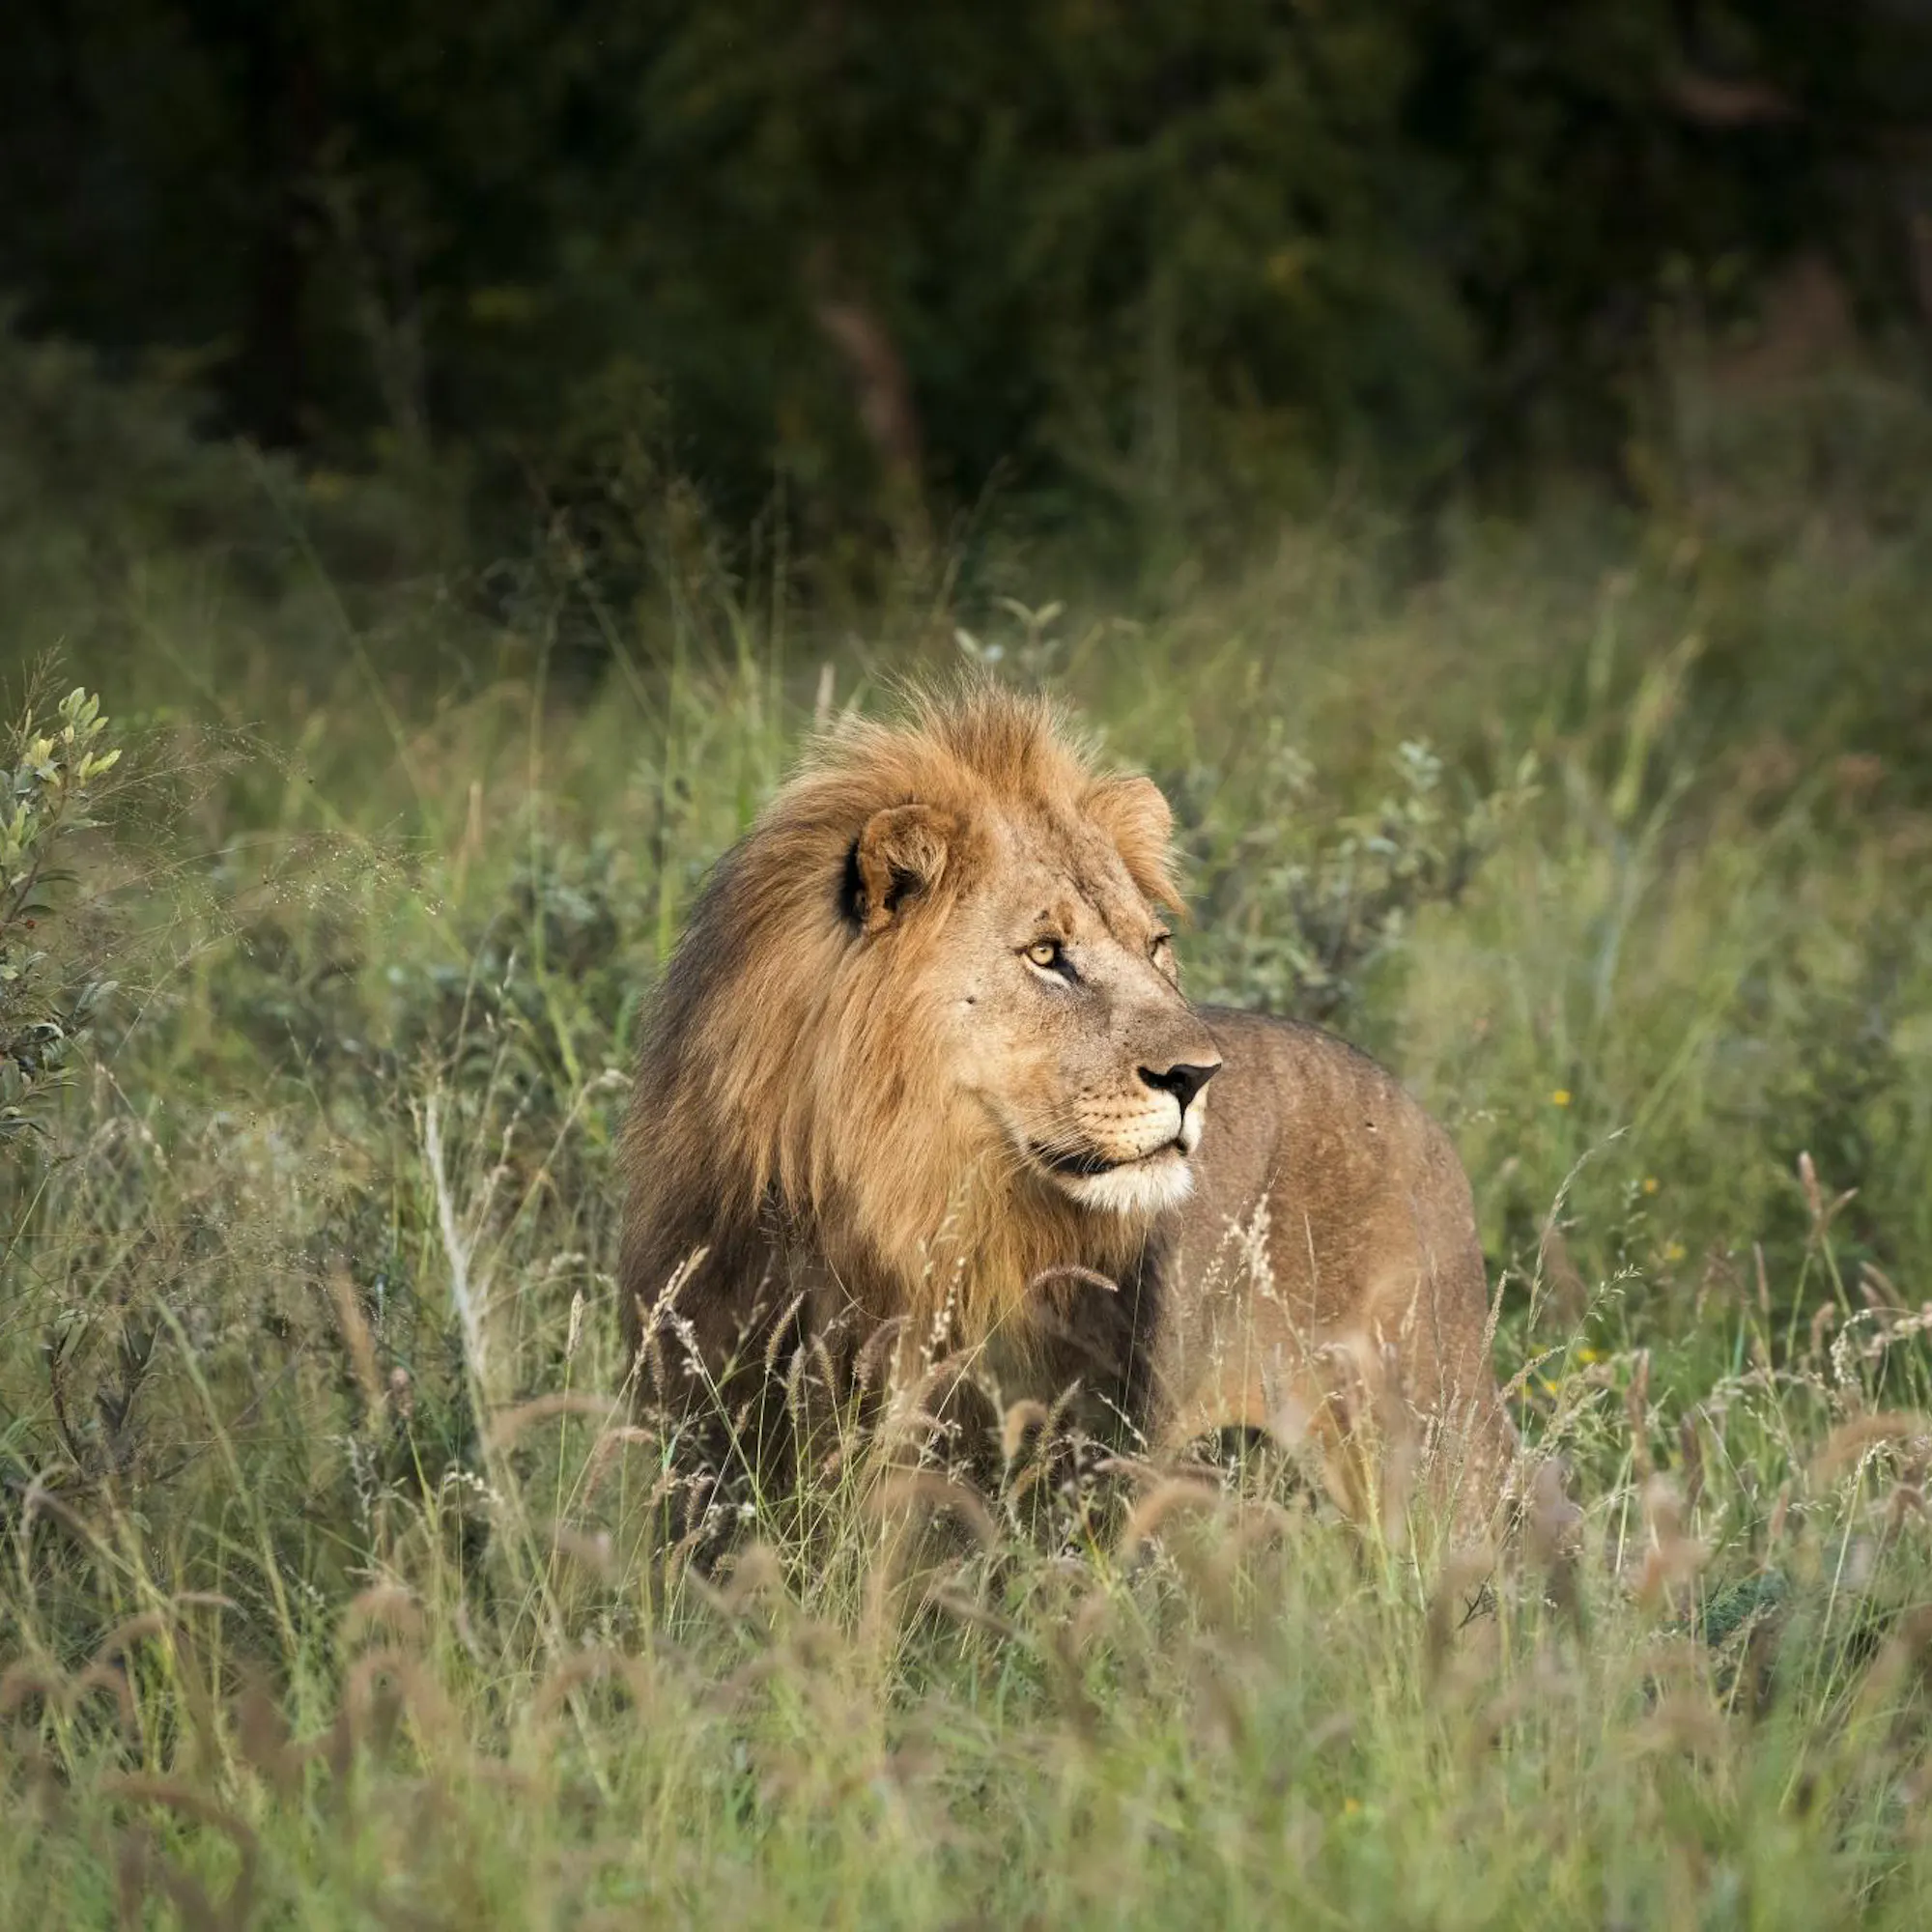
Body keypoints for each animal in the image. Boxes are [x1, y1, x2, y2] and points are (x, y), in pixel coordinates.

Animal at [618, 684, 1515, 1532]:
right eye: (1047, 954)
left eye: (1155, 947)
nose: (1197, 1076)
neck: (878, 1206)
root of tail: (1416, 1113)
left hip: (1435, 1447)